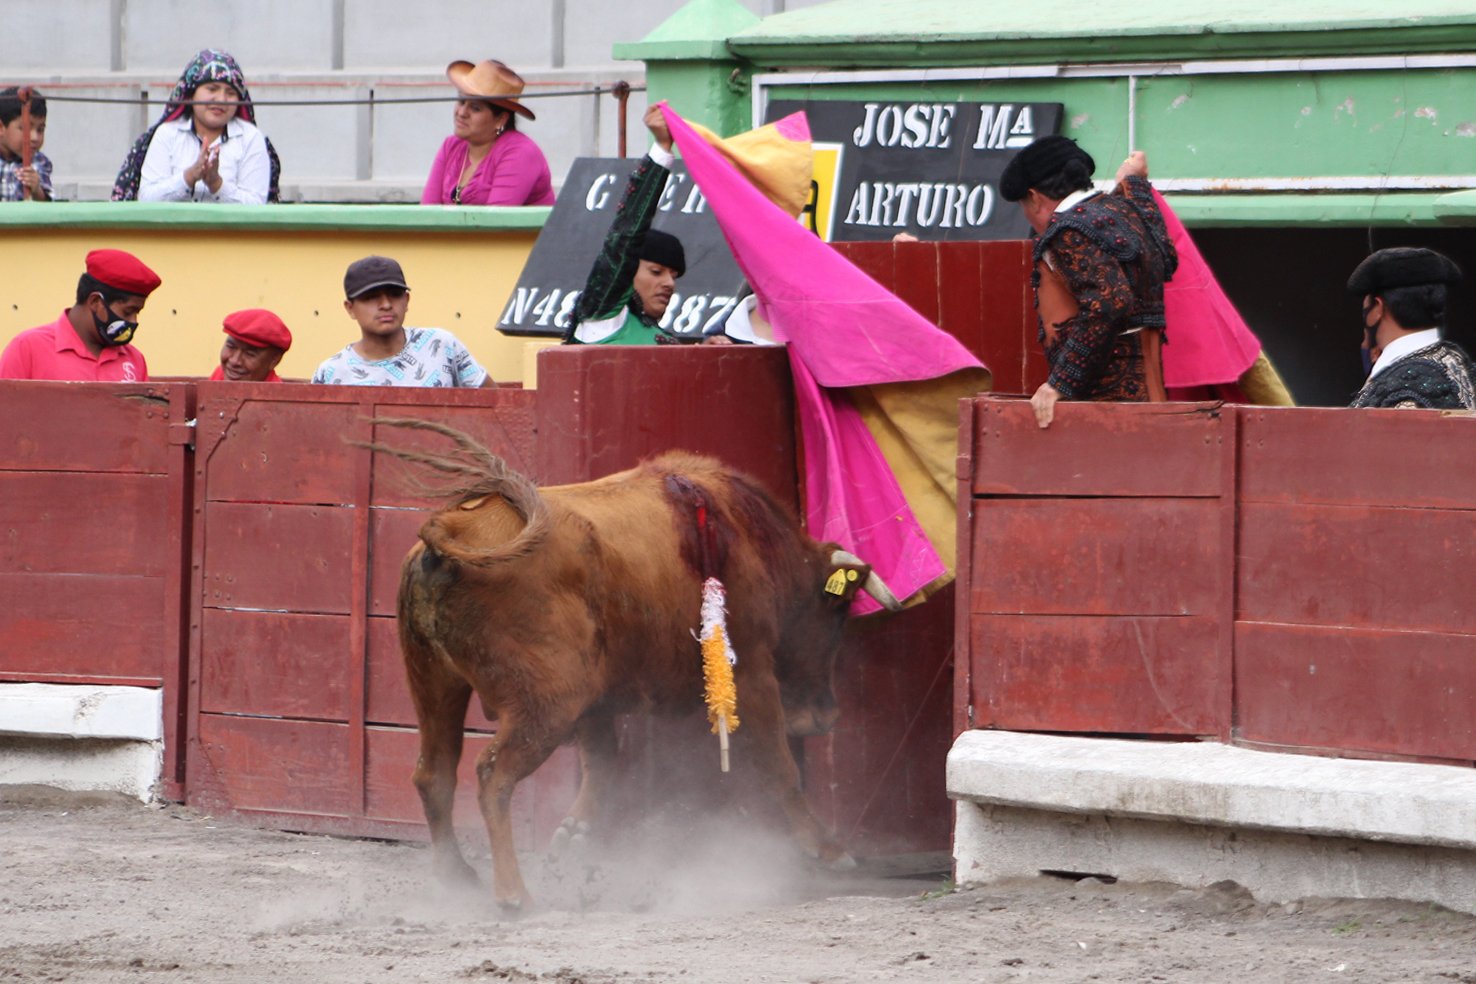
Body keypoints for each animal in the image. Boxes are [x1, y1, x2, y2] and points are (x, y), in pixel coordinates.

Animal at [376, 418, 900, 911]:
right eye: (837, 614)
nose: (825, 717)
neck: (751, 540)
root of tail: (448, 537)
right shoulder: (751, 671)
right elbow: (780, 766)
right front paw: (830, 850)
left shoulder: (598, 701)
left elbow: (603, 761)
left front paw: (573, 834)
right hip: (546, 704)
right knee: (492, 778)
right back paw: (513, 896)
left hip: (435, 684)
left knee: (434, 774)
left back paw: (456, 878)